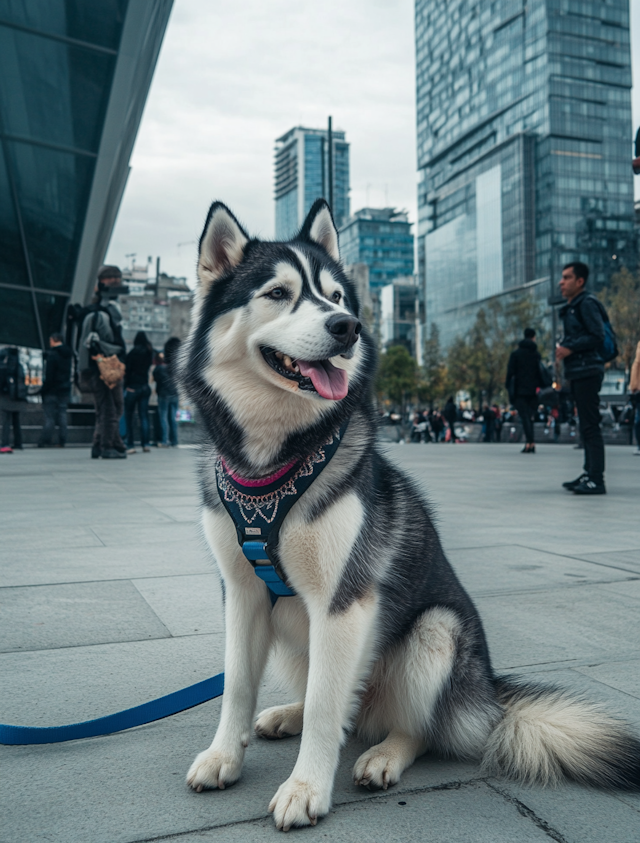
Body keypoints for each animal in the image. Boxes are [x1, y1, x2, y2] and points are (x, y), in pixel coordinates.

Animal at [179, 201, 640, 836]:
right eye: (278, 293)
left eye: (336, 296)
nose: (347, 327)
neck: (274, 465)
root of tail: (488, 698)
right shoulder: (243, 593)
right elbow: (236, 685)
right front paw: (225, 754)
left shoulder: (344, 603)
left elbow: (327, 706)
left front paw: (305, 787)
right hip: (302, 640)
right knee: (341, 703)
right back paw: (288, 714)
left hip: (437, 631)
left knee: (412, 726)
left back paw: (385, 754)